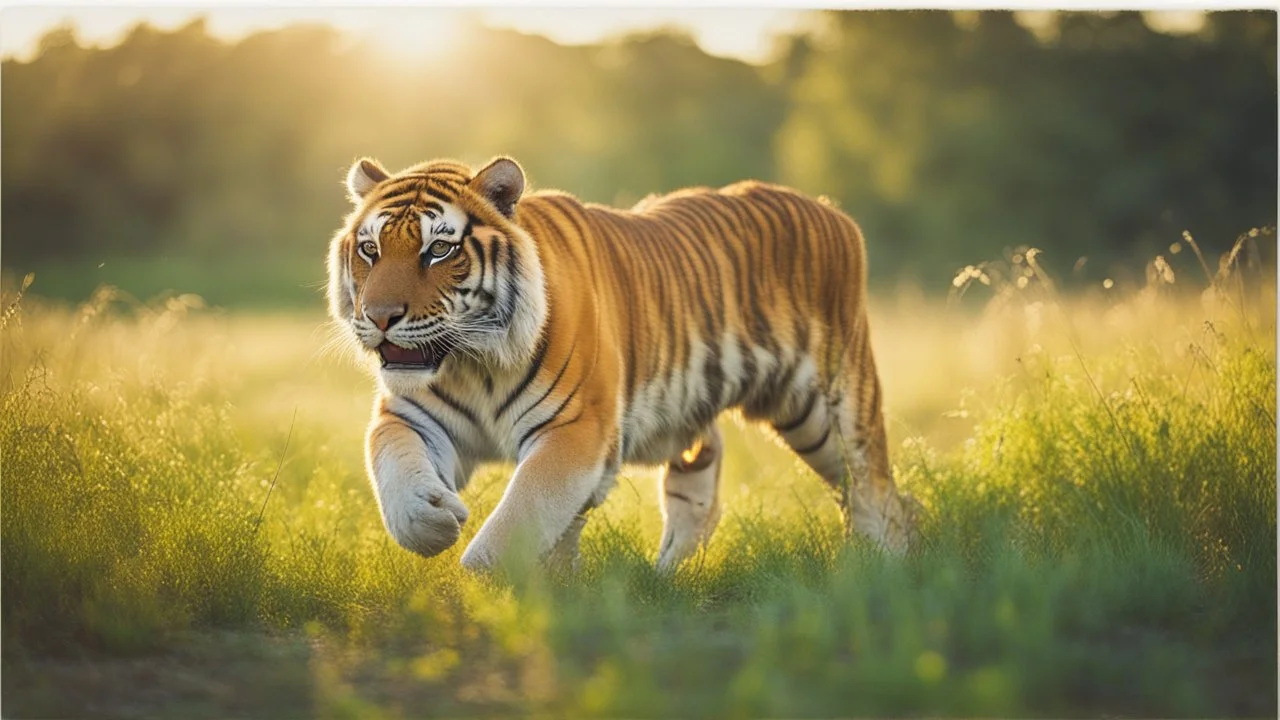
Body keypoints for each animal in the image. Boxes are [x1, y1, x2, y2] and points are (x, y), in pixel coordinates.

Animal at [325, 154, 916, 568]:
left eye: (439, 251)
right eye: (371, 249)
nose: (379, 316)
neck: (474, 364)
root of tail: (831, 208)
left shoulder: (574, 430)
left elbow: (522, 517)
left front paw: (484, 585)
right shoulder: (411, 415)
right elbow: (393, 469)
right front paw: (435, 521)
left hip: (829, 406)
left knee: (877, 490)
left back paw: (883, 568)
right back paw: (667, 577)